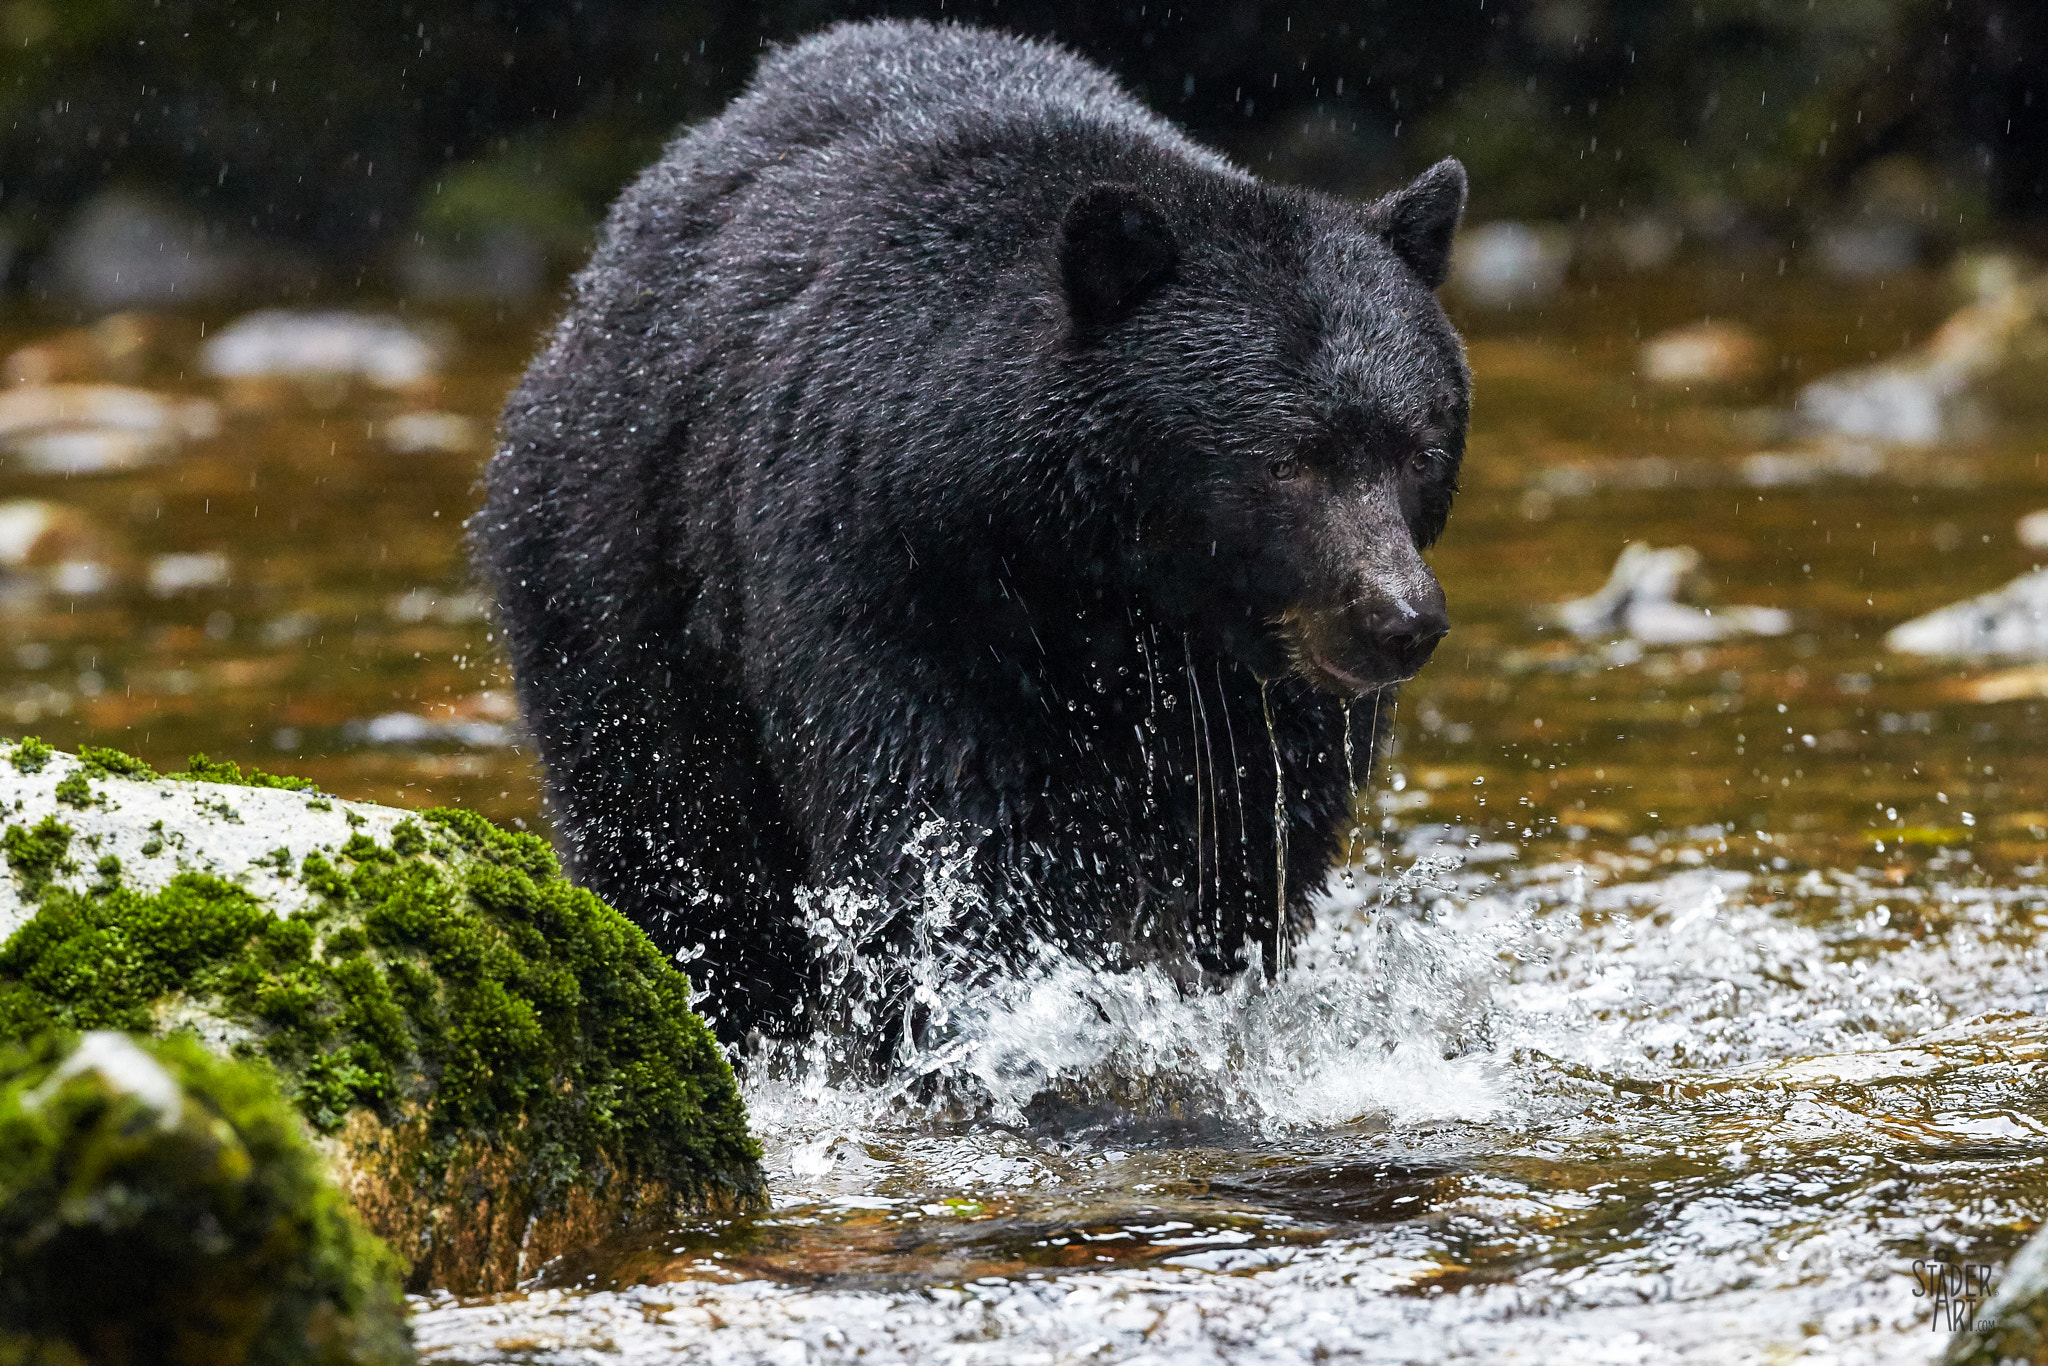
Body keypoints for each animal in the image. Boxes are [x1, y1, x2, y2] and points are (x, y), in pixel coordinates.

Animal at [479, 18, 1474, 1048]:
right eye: (1286, 461)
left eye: (1419, 449)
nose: (1400, 620)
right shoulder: (885, 572)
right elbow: (935, 828)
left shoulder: (1259, 692)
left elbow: (1247, 857)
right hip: (619, 568)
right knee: (676, 840)